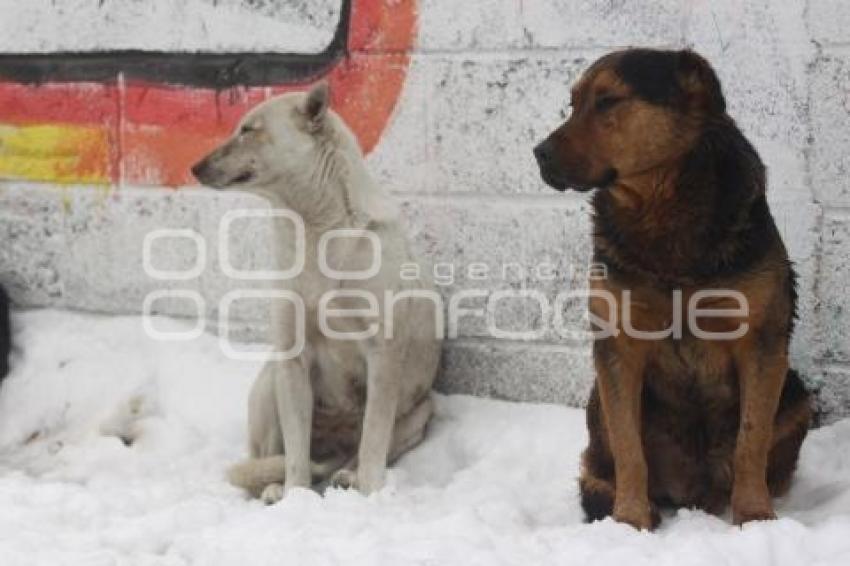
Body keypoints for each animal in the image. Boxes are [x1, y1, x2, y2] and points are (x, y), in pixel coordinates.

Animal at [193, 83, 444, 502]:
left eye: (248, 130)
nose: (194, 168)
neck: (315, 229)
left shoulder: (383, 356)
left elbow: (373, 439)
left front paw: (370, 494)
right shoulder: (292, 359)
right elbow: (296, 453)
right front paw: (296, 498)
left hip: (421, 410)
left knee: (359, 450)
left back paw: (348, 477)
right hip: (269, 384)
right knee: (272, 459)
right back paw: (276, 489)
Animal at [532, 50, 812, 532]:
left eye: (608, 100)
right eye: (573, 104)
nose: (539, 154)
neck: (659, 205)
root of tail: (692, 491)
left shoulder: (761, 342)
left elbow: (751, 439)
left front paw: (754, 516)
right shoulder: (618, 345)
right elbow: (628, 446)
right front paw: (629, 522)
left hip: (795, 395)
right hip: (596, 398)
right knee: (603, 459)